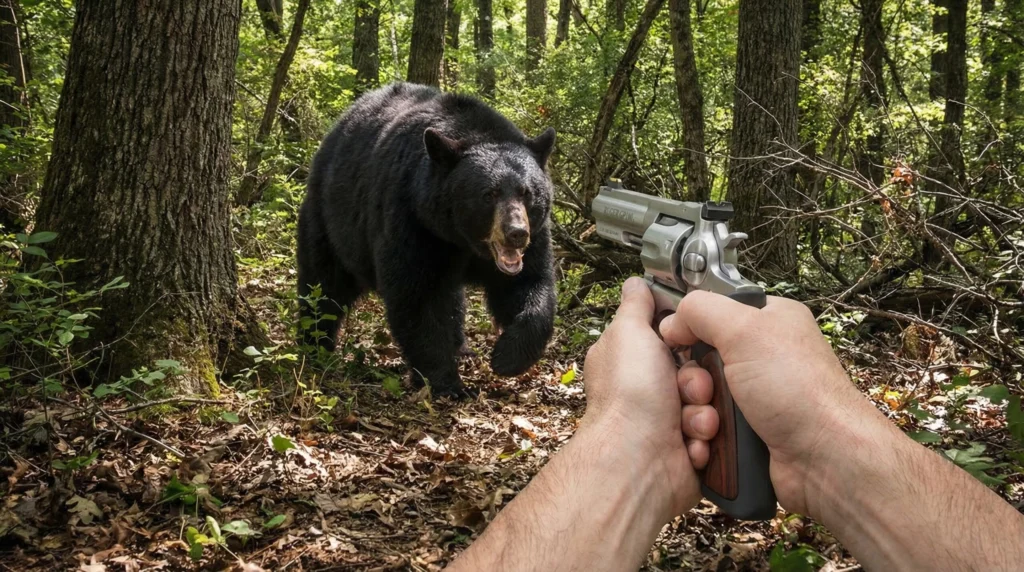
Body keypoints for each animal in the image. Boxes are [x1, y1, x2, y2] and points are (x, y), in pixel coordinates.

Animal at [297, 82, 558, 399]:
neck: (461, 239)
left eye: (527, 192)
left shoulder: (534, 238)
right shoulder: (414, 220)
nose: (516, 232)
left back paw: (463, 348)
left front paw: (507, 356)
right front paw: (447, 383)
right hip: (331, 220)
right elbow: (419, 297)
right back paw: (315, 345)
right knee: (323, 285)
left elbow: (529, 285)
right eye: (489, 194)